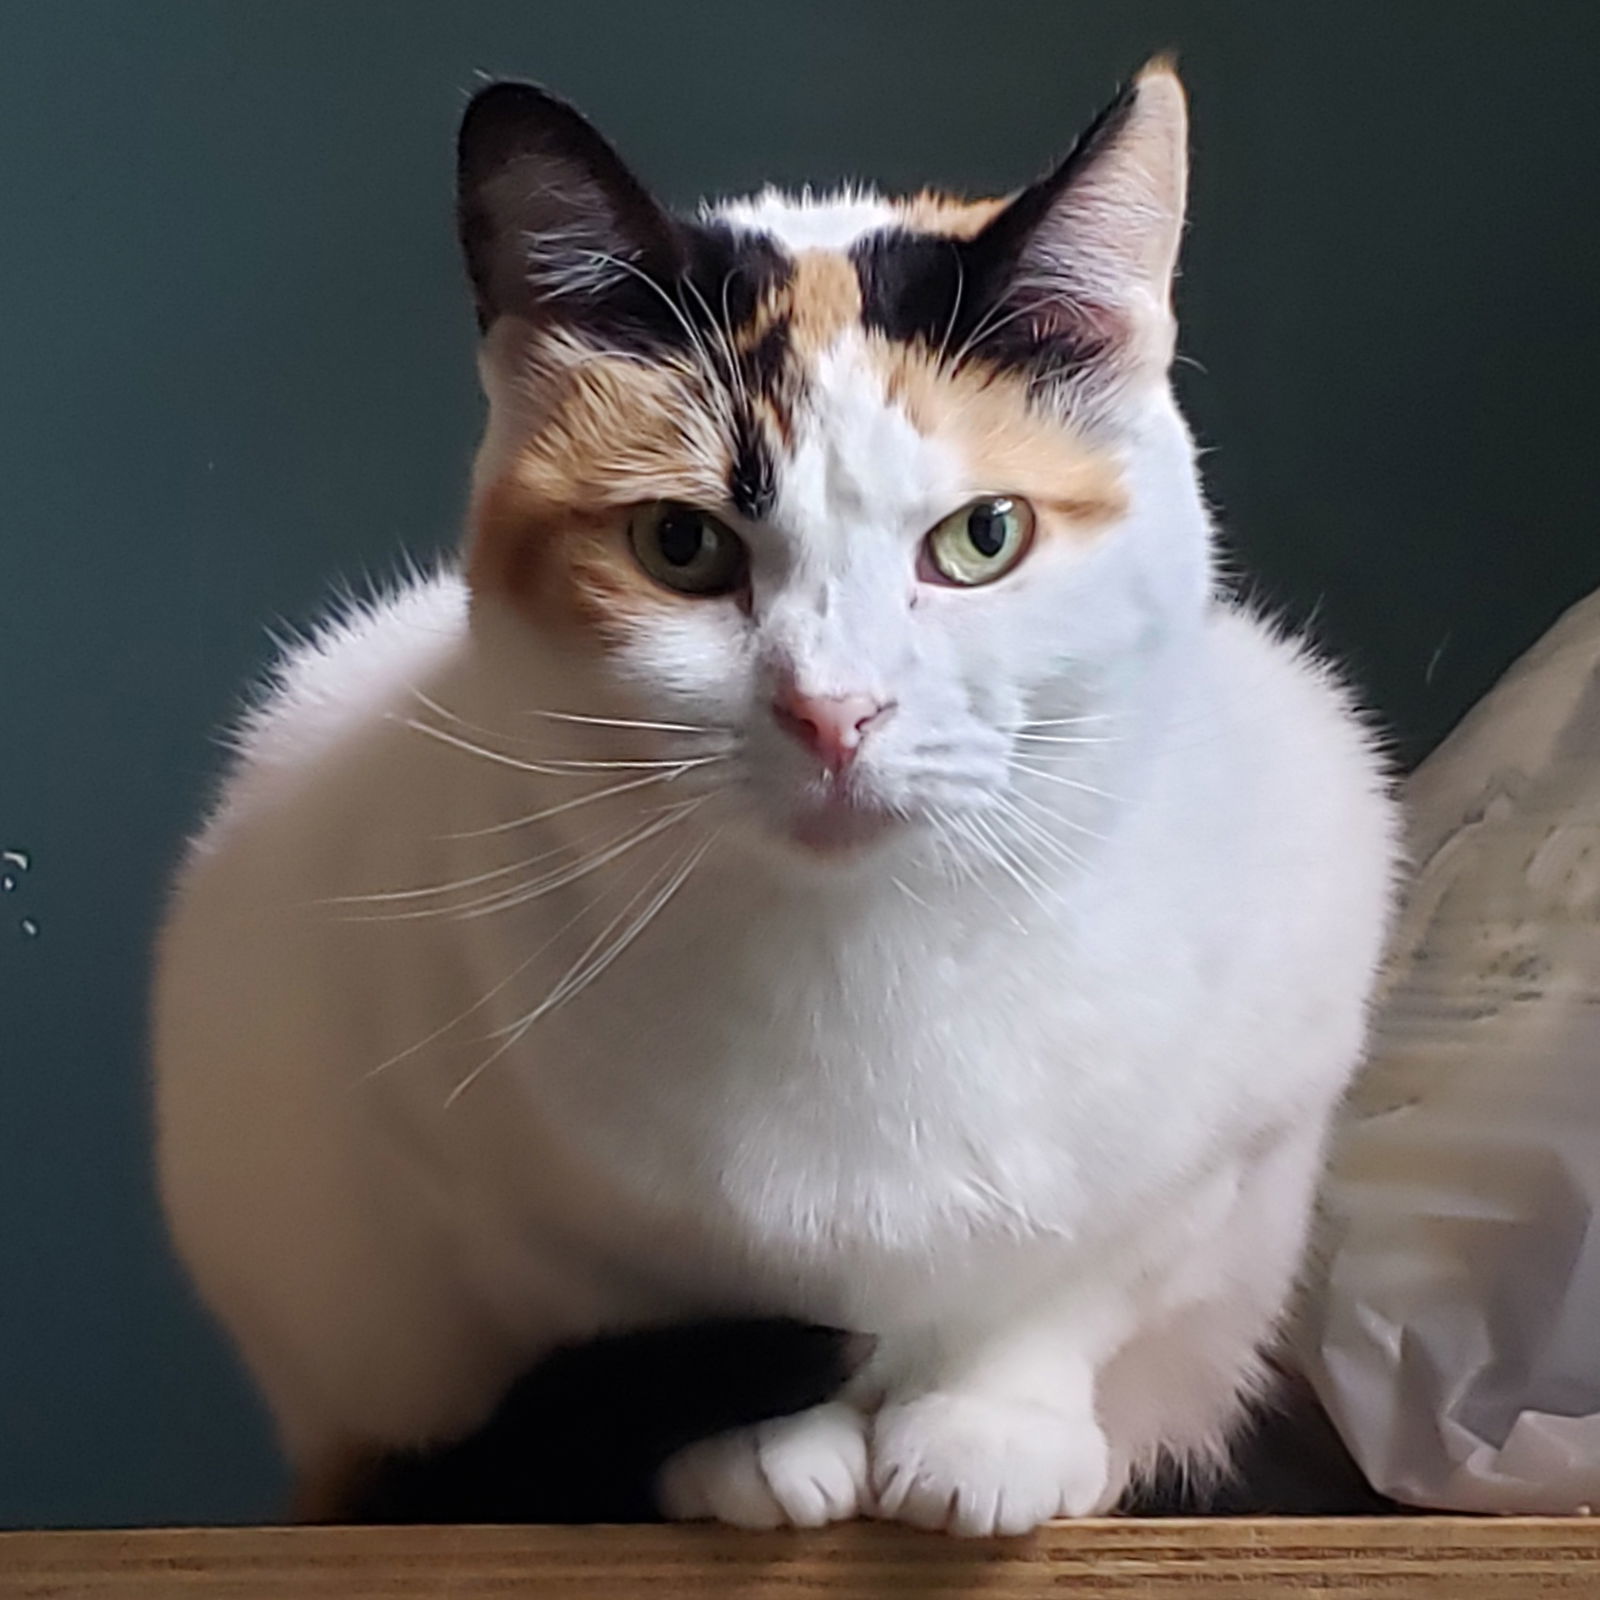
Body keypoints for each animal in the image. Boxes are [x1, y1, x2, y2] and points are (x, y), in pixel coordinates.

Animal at [152, 62, 1401, 1536]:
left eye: (983, 537)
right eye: (680, 544)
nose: (833, 710)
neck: (861, 955)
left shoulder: (1236, 1123)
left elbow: (1066, 1290)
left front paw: (991, 1431)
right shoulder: (455, 1173)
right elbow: (645, 1302)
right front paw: (754, 1446)